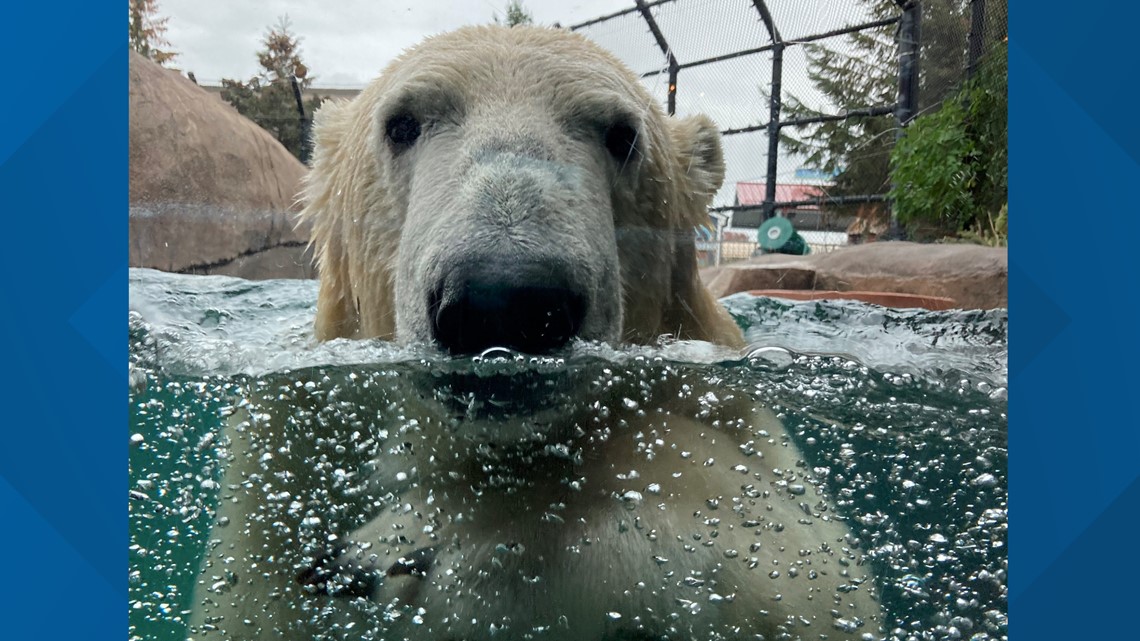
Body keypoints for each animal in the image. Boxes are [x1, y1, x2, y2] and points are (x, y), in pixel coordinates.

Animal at [189, 26, 880, 638]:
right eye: (401, 123)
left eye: (623, 135)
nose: (504, 299)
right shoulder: (290, 453)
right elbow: (254, 606)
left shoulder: (731, 407)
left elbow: (813, 577)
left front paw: (429, 545)